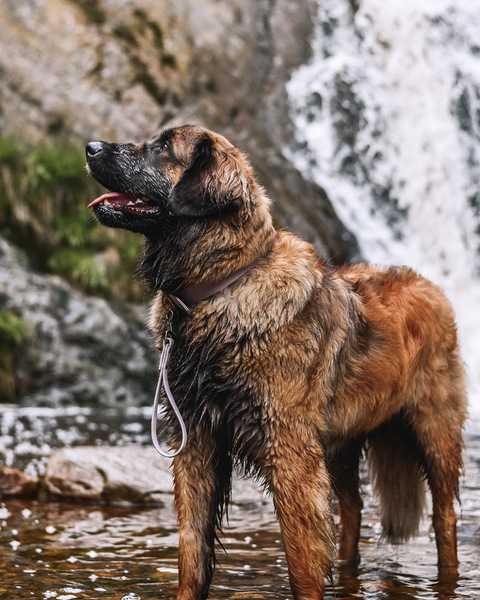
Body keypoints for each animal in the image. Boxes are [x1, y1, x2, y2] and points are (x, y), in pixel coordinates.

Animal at [84, 125, 466, 600]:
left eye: (164, 147)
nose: (89, 148)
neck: (217, 288)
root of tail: (429, 283)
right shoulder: (197, 443)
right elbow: (192, 552)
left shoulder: (290, 454)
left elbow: (301, 561)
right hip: (337, 443)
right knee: (353, 509)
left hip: (434, 431)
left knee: (444, 516)